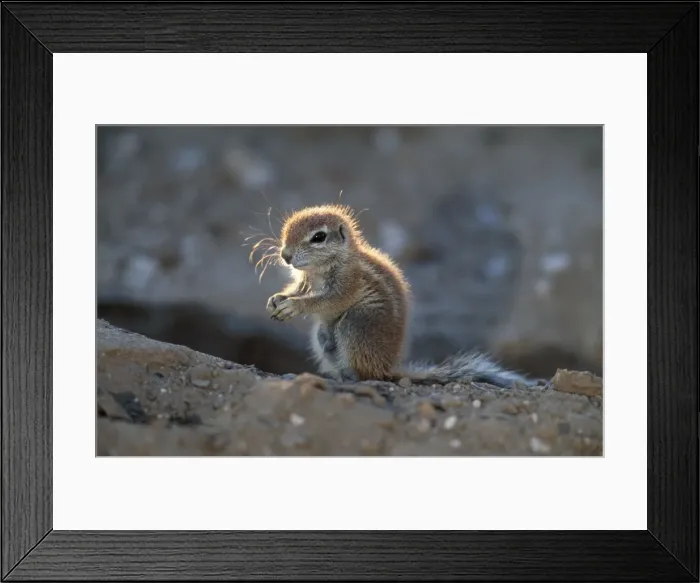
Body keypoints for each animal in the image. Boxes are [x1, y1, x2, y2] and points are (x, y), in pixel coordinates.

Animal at [256, 203, 540, 389]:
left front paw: (294, 306)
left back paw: (351, 378)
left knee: (368, 374)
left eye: (318, 237)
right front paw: (277, 299)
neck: (321, 267)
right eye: (286, 228)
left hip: (356, 324)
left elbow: (328, 300)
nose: (285, 255)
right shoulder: (304, 280)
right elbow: (298, 289)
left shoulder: (348, 282)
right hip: (321, 336)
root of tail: (388, 368)